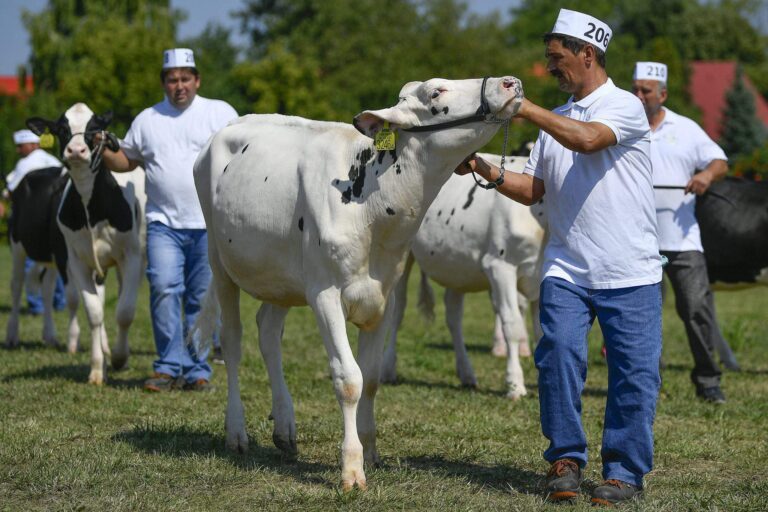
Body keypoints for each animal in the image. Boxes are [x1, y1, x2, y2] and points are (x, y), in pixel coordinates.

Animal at [27, 103, 146, 385]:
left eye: (95, 129)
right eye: (61, 129)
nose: (76, 150)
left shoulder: (132, 256)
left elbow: (125, 311)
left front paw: (120, 357)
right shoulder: (76, 260)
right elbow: (94, 312)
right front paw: (97, 369)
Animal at [191, 76, 524, 490]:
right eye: (436, 92)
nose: (510, 81)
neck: (373, 207)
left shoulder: (385, 297)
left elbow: (373, 377)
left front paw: (371, 451)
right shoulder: (325, 294)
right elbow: (349, 378)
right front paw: (352, 468)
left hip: (282, 277)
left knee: (267, 334)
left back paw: (284, 426)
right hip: (220, 262)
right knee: (234, 342)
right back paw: (236, 432)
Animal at [381, 154, 546, 399]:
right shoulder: (500, 266)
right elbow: (513, 325)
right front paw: (515, 384)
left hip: (456, 264)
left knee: (453, 316)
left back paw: (466, 374)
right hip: (401, 253)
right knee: (397, 310)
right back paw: (388, 369)